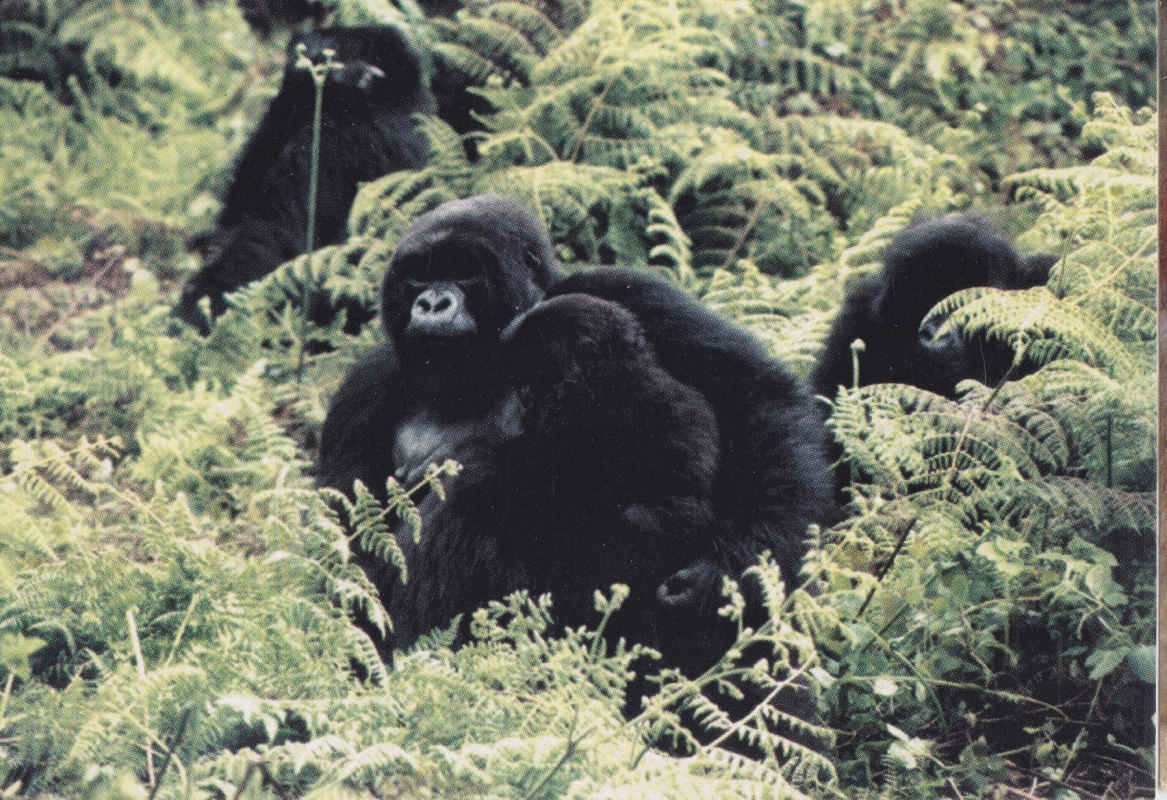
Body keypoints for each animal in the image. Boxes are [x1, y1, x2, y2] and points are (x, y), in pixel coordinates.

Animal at [315, 195, 835, 681]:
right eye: (417, 279)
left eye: (463, 272)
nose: (432, 304)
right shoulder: (363, 392)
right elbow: (349, 566)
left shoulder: (627, 290)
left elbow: (756, 397)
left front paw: (727, 572)